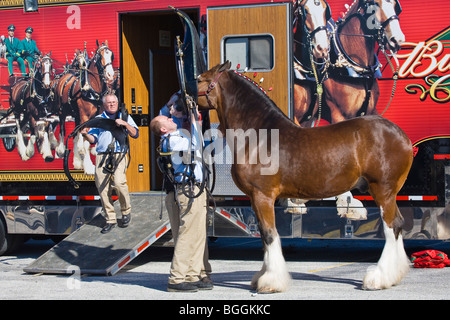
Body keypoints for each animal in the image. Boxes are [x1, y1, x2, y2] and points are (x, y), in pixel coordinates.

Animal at [199, 61, 414, 294]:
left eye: (199, 79)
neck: (259, 135)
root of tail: (402, 136)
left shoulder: (263, 196)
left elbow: (269, 234)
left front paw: (270, 282)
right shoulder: (255, 198)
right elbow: (264, 237)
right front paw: (262, 277)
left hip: (382, 190)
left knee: (391, 227)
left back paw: (378, 278)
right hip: (388, 193)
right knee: (398, 224)